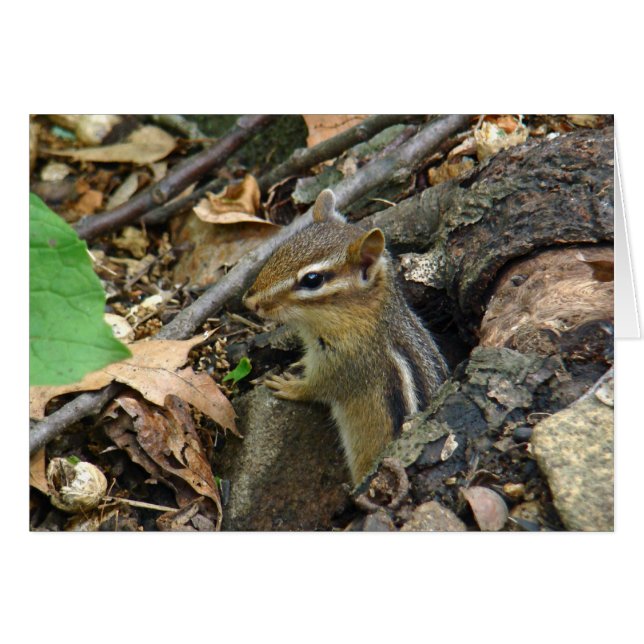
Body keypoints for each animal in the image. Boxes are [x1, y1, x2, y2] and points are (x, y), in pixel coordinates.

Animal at [243, 189, 448, 485]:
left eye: (312, 280)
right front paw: (299, 364)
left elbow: (319, 388)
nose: (250, 302)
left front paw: (289, 386)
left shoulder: (349, 363)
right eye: (280, 250)